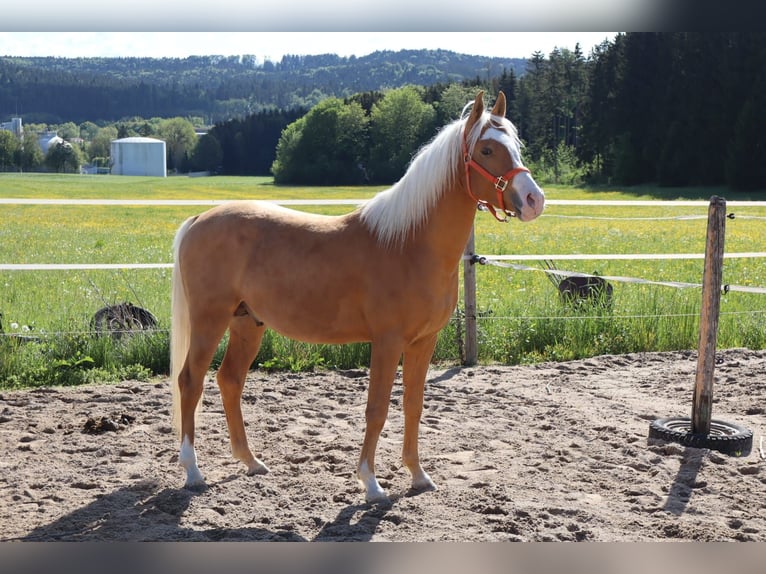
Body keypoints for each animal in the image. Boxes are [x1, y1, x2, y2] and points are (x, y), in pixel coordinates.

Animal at [170, 91, 545, 503]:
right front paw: (371, 483)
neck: (410, 244)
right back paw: (193, 472)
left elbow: (413, 406)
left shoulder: (423, 342)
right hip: (210, 319)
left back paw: (251, 461)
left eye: (517, 145)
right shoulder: (387, 341)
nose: (534, 200)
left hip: (247, 323)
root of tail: (199, 219)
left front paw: (418, 475)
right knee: (191, 381)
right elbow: (376, 409)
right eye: (487, 149)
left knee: (230, 381)